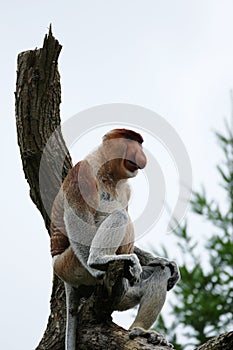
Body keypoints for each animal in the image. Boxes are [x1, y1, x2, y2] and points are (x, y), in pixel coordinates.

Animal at [50, 129, 179, 348]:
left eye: (139, 144)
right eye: (131, 142)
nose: (141, 154)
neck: (107, 172)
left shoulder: (127, 189)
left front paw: (165, 261)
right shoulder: (82, 172)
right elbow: (80, 219)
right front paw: (96, 265)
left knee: (157, 273)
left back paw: (141, 331)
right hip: (70, 265)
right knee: (119, 216)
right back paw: (99, 261)